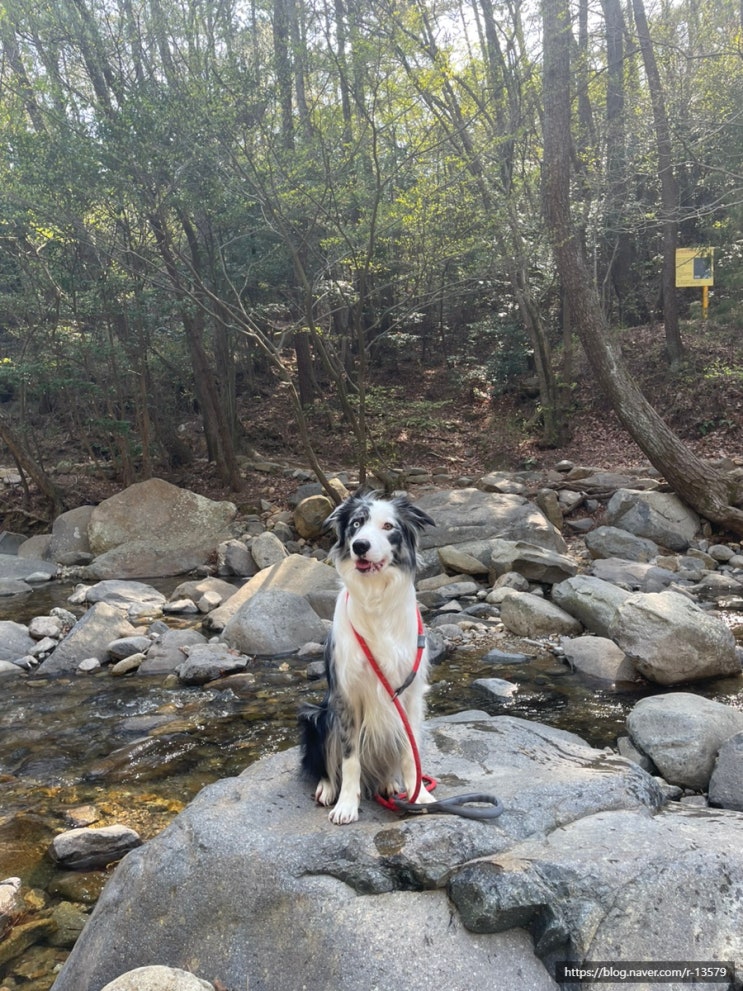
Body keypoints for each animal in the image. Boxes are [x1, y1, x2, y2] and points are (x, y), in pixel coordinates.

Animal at [298, 492, 436, 824]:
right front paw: (346, 804)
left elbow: (411, 752)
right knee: (327, 763)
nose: (360, 545)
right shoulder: (346, 697)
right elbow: (349, 759)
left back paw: (389, 785)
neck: (377, 600)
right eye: (356, 524)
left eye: (388, 526)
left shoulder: (410, 695)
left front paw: (419, 794)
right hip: (317, 716)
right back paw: (327, 789)